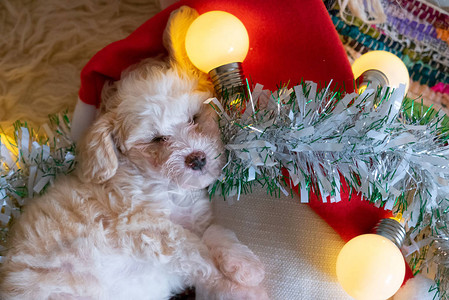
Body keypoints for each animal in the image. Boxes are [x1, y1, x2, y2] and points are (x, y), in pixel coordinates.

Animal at [0, 5, 266, 300]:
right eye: (157, 139)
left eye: (194, 118)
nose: (196, 159)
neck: (168, 190)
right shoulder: (144, 228)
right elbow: (197, 252)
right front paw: (240, 288)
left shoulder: (195, 220)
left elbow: (214, 232)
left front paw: (244, 265)